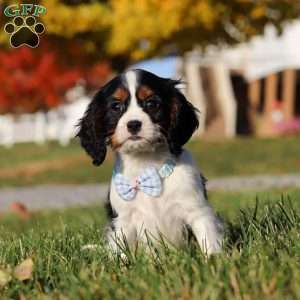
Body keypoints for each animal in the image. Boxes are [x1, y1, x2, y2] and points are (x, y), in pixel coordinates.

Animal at [77, 68, 223, 255]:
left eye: (152, 103)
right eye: (116, 106)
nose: (133, 124)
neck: (146, 165)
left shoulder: (197, 209)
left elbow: (209, 240)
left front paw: (213, 259)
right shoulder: (124, 221)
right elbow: (122, 251)